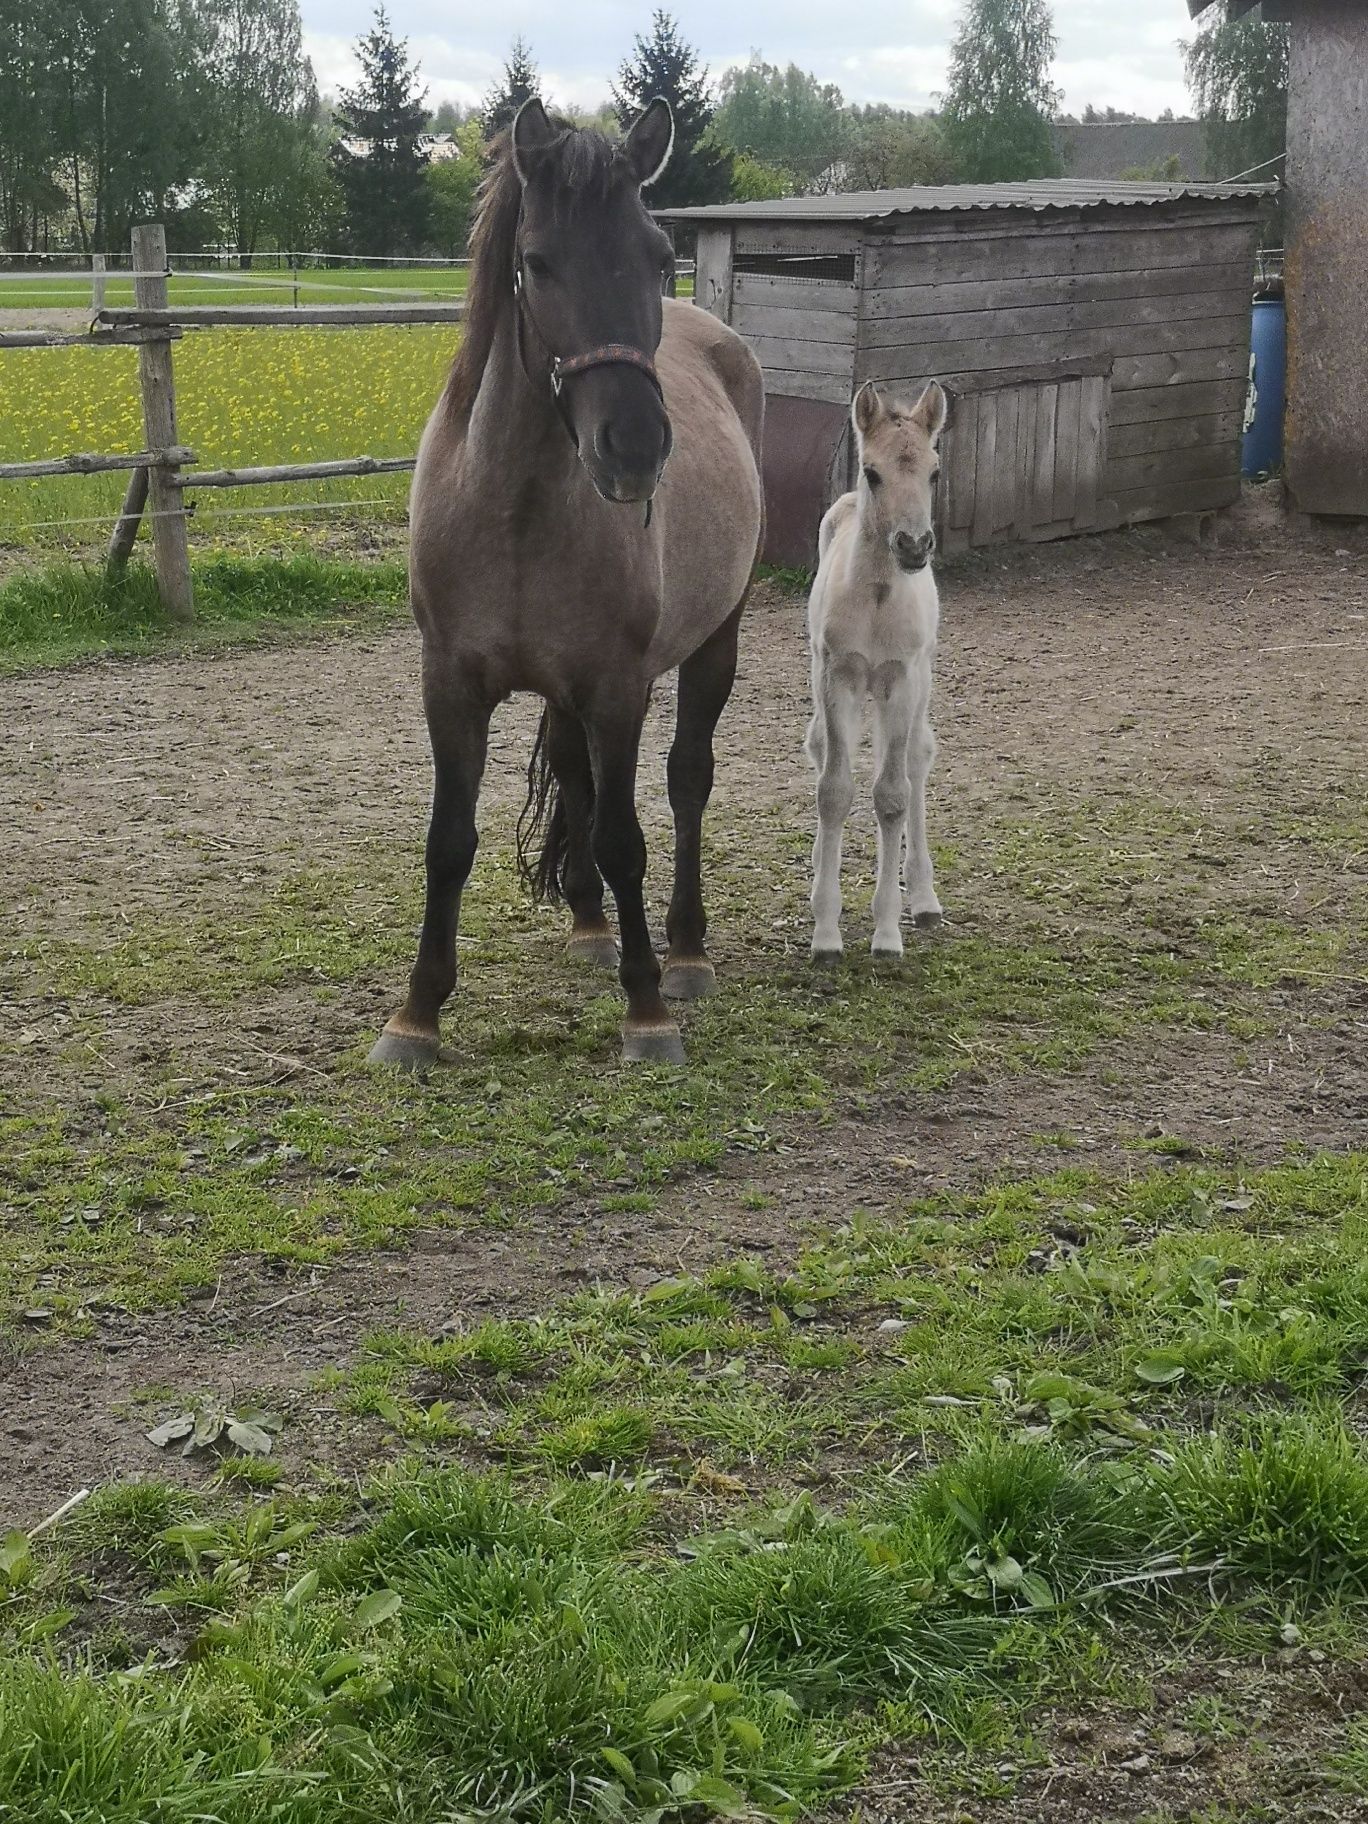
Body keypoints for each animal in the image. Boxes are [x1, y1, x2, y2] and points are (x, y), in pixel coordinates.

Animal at [370, 99, 766, 1065]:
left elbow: (627, 837)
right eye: (537, 261)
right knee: (576, 777)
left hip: (715, 643)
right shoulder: (451, 686)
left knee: (687, 779)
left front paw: (647, 1007)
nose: (635, 445)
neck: (512, 508)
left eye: (660, 256)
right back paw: (590, 924)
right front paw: (417, 1012)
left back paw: (685, 950)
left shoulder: (619, 688)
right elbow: (450, 840)